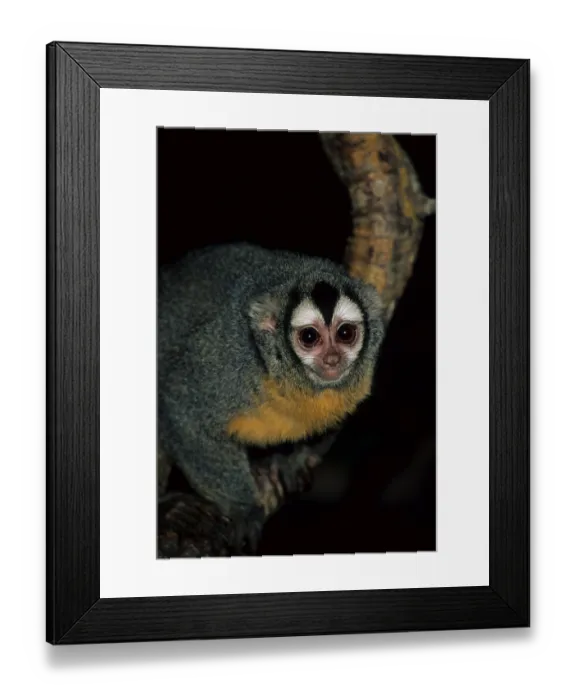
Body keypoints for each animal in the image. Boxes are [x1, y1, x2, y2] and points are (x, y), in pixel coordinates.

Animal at [157, 242, 387, 551]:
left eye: (346, 333)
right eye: (310, 337)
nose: (332, 359)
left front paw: (288, 460)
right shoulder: (226, 365)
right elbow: (182, 407)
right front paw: (244, 509)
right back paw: (171, 510)